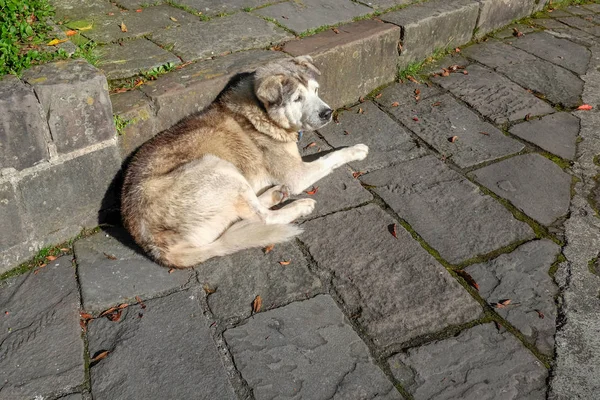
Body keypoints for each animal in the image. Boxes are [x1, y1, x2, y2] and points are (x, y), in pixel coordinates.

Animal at [120, 55, 368, 268]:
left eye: (315, 90)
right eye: (298, 98)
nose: (327, 112)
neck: (262, 113)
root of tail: (158, 248)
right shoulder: (297, 174)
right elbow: (331, 156)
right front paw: (356, 150)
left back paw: (276, 193)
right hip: (215, 166)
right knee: (264, 218)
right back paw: (299, 205)